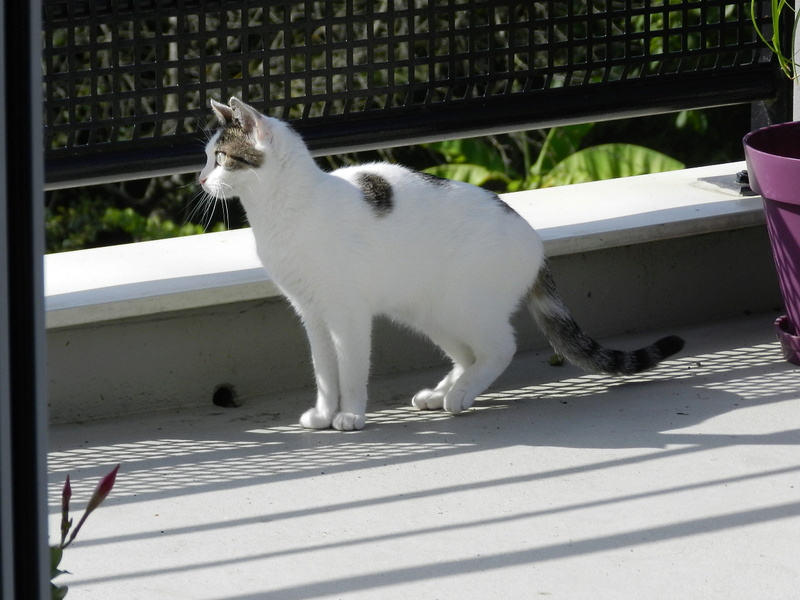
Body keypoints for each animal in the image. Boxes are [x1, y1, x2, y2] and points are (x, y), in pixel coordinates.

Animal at [198, 96, 680, 428]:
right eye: (205, 157)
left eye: (220, 158)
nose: (201, 179)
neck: (283, 213)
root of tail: (535, 239)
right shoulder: (312, 315)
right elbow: (324, 371)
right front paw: (323, 413)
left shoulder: (348, 314)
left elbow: (350, 368)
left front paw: (350, 415)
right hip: (431, 314)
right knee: (469, 355)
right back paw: (446, 392)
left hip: (463, 307)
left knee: (500, 347)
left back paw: (458, 397)